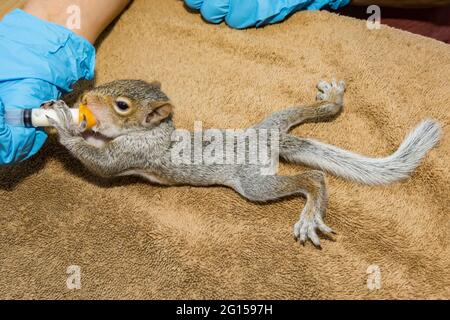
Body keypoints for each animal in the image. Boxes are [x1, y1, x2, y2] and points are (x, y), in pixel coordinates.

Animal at [44, 79, 442, 248]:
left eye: (122, 105)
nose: (85, 98)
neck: (155, 129)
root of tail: (267, 141)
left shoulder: (134, 153)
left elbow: (100, 163)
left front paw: (62, 126)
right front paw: (63, 110)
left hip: (254, 184)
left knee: (313, 178)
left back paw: (310, 214)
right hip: (276, 120)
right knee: (318, 113)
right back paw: (331, 100)